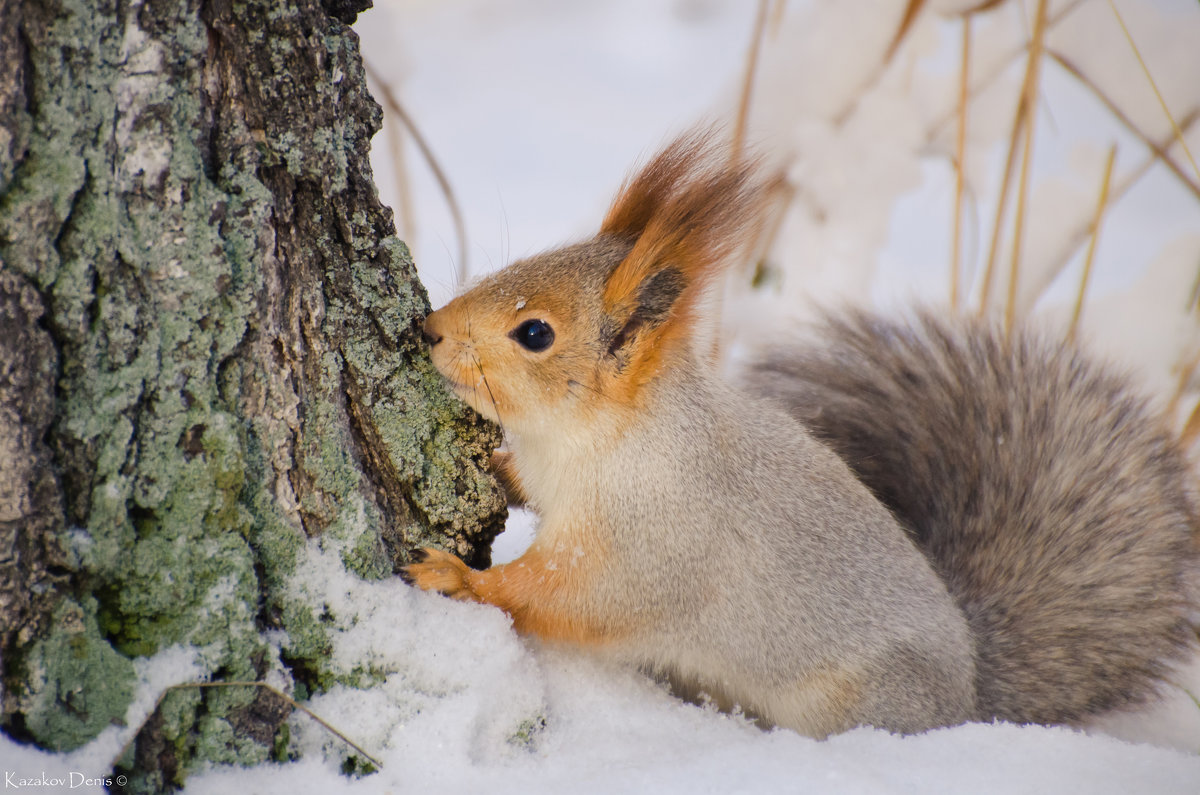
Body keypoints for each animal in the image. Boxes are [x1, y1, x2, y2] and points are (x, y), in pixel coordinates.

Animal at [405, 130, 1200, 739]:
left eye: (535, 333)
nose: (431, 328)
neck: (594, 437)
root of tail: (973, 685)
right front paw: (498, 471)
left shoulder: (652, 541)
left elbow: (564, 598)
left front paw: (460, 579)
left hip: (856, 700)